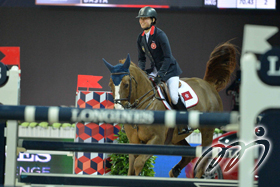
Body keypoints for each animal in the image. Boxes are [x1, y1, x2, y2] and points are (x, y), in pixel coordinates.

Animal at [102, 41, 236, 178]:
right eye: (110, 85)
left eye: (126, 84)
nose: (119, 110)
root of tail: (208, 85)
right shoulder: (135, 143)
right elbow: (131, 169)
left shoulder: (157, 140)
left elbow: (138, 163)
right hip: (175, 137)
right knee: (186, 156)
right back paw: (174, 172)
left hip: (207, 131)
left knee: (203, 161)